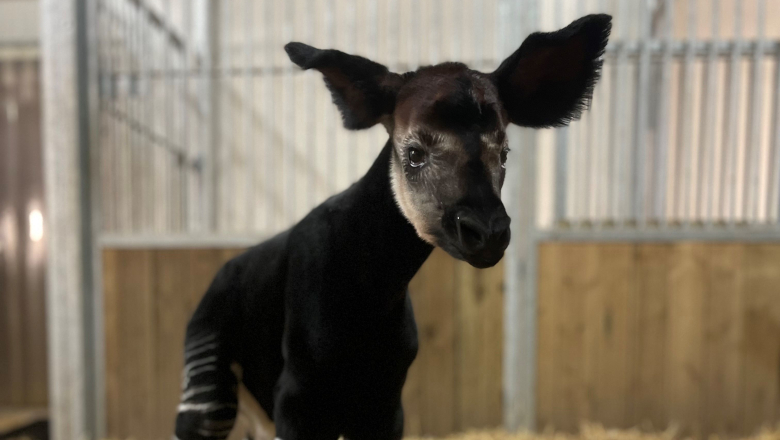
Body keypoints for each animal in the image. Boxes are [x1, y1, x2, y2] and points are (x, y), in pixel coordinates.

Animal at [175, 13, 608, 440]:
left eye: (503, 153)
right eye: (414, 154)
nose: (488, 233)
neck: (374, 284)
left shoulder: (383, 403)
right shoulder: (299, 399)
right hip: (210, 386)